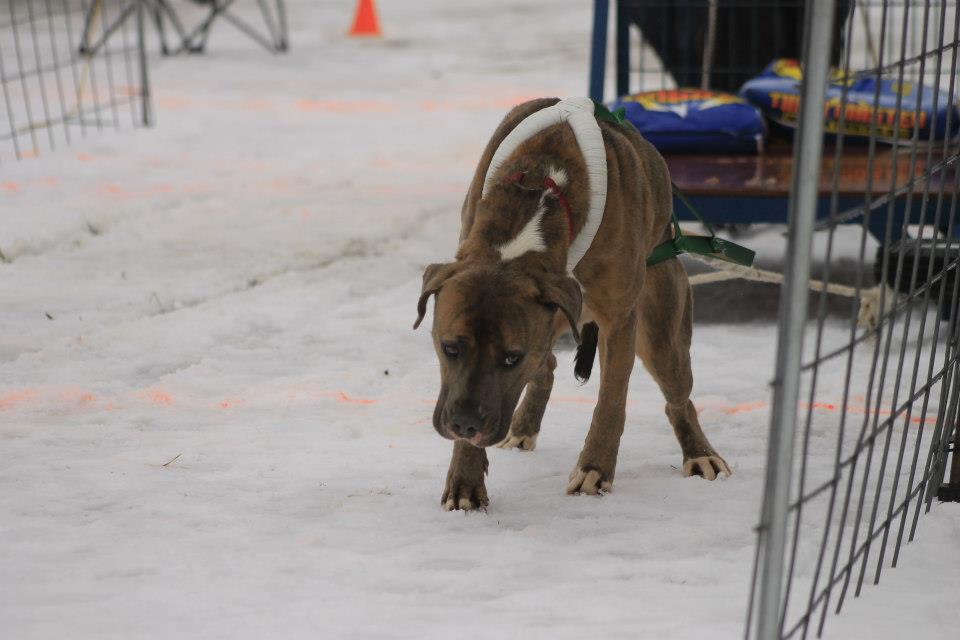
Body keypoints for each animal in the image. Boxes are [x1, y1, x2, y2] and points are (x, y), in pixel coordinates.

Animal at [410, 97, 728, 512]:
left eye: (511, 357)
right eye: (449, 348)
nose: (465, 424)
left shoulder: (619, 322)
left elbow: (611, 400)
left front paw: (595, 468)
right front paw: (465, 479)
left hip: (661, 331)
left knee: (678, 395)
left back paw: (699, 452)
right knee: (547, 366)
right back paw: (524, 425)